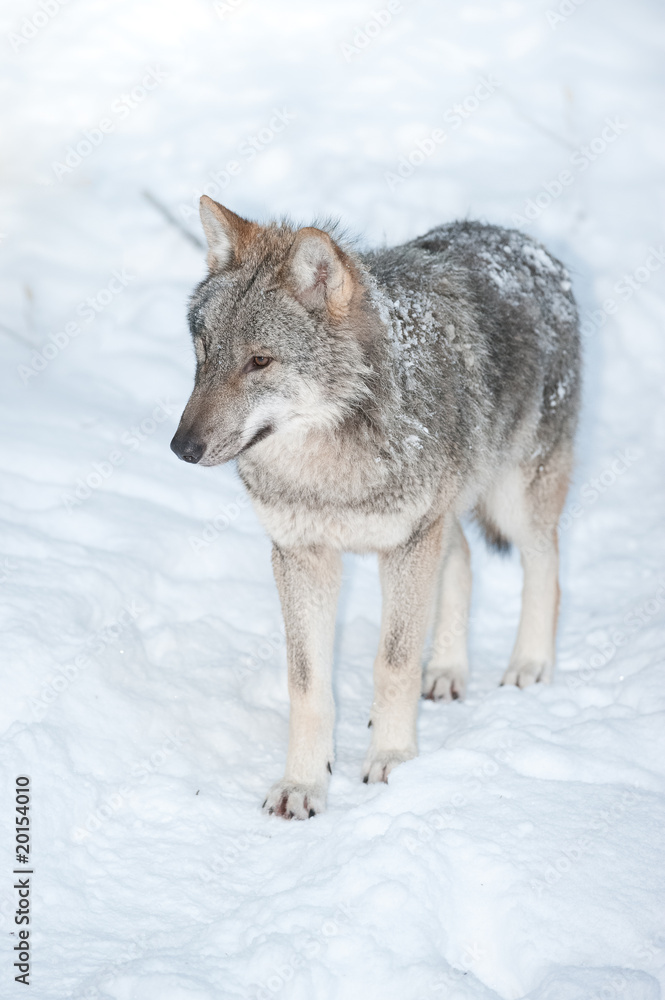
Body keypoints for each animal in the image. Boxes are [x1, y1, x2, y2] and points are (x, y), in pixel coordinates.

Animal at [172, 195, 580, 820]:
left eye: (260, 362)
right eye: (204, 353)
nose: (181, 448)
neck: (327, 472)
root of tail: (528, 244)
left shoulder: (406, 546)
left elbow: (392, 665)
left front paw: (394, 762)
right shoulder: (303, 555)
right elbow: (307, 686)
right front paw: (303, 785)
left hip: (512, 500)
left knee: (545, 568)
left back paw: (529, 666)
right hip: (445, 516)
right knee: (464, 560)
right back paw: (447, 671)